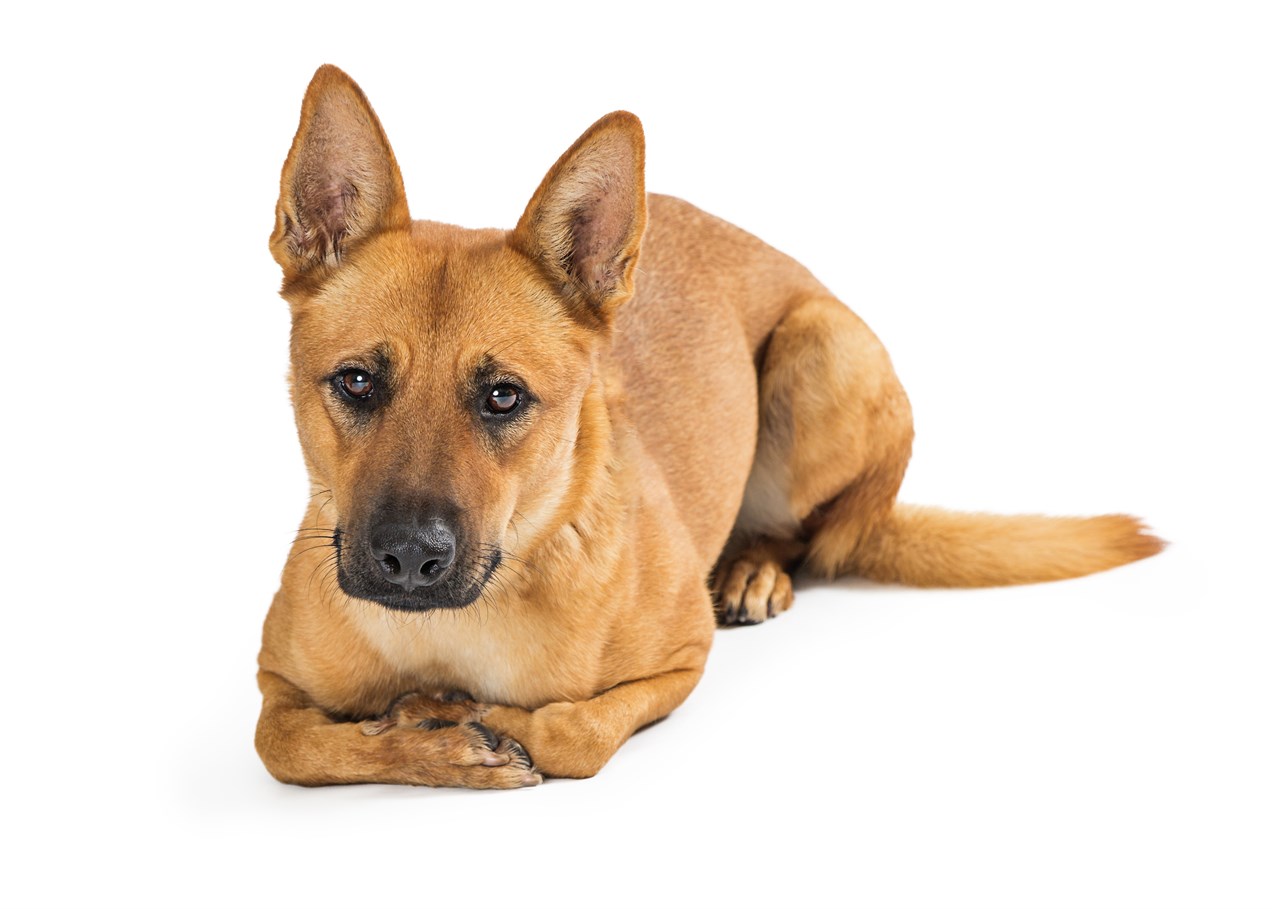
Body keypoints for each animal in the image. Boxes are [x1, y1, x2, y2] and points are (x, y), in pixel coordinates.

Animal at [255, 63, 1165, 788]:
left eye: (504, 398)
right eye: (357, 381)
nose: (409, 558)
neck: (451, 626)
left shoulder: (681, 660)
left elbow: (570, 730)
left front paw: (459, 724)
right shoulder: (273, 682)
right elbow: (291, 745)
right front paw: (427, 739)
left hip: (822, 352)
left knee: (806, 535)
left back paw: (754, 568)